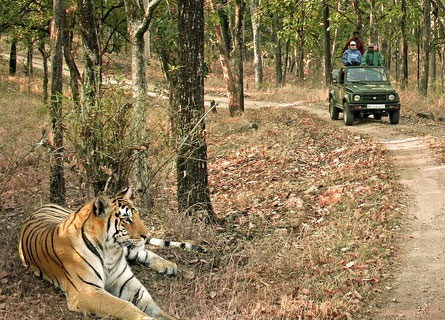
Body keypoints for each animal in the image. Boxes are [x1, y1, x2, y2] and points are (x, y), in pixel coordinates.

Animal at [17, 188, 205, 320]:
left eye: (137, 215)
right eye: (127, 219)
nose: (147, 234)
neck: (111, 252)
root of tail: (44, 205)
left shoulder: (127, 283)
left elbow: (155, 308)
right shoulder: (87, 292)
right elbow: (126, 306)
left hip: (130, 249)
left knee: (143, 252)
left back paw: (168, 265)